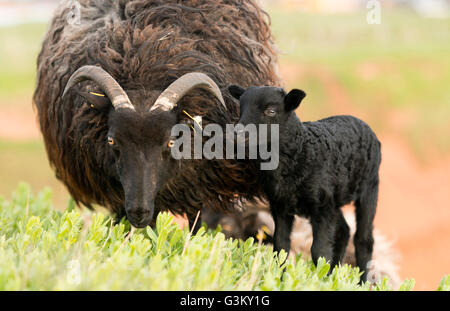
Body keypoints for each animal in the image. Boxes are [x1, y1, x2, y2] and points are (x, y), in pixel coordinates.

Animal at [229, 84, 380, 282]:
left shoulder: (321, 209)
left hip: (369, 187)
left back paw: (361, 282)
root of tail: (360, 121)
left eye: (271, 111)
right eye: (241, 108)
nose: (237, 134)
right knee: (344, 231)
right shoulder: (281, 206)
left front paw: (317, 281)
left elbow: (319, 251)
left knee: (364, 240)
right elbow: (281, 246)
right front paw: (281, 279)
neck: (301, 152)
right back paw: (332, 276)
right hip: (333, 198)